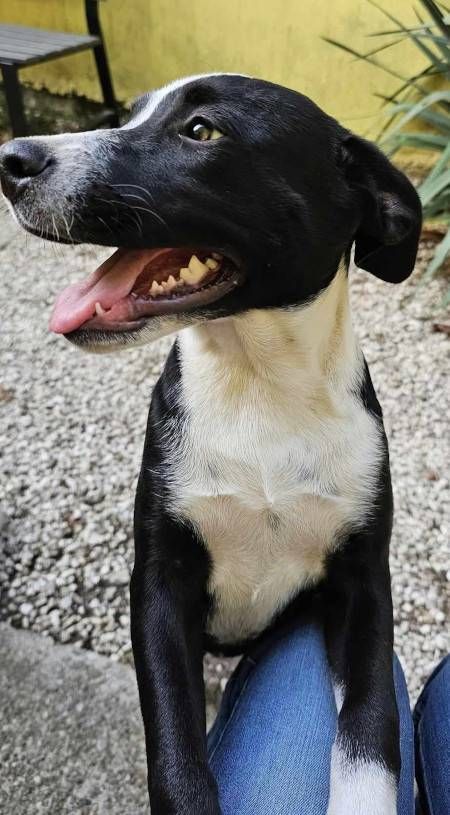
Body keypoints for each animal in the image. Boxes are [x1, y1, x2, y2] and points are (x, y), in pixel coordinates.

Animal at [0, 73, 421, 814]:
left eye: (202, 131)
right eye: (130, 114)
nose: (12, 159)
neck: (260, 389)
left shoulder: (364, 582)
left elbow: (371, 734)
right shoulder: (160, 585)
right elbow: (177, 757)